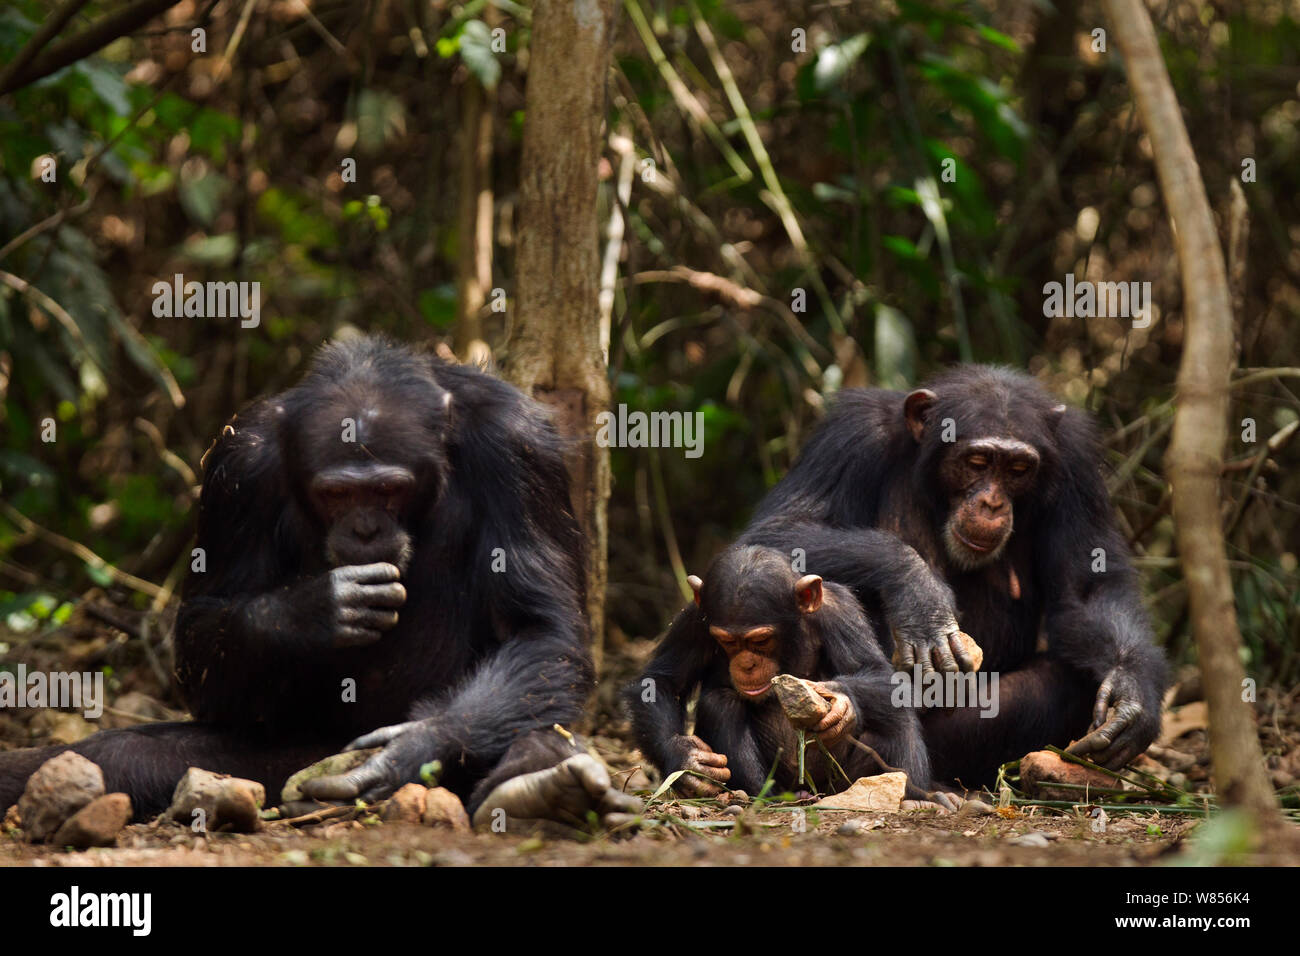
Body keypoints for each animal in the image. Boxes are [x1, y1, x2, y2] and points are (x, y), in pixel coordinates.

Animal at [0, 338, 639, 832]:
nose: (365, 529)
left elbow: (540, 629)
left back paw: (543, 793)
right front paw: (311, 613)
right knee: (120, 755)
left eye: (388, 490)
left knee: (542, 719)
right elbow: (203, 632)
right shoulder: (237, 465)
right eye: (336, 494)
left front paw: (411, 747)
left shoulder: (519, 446)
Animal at [629, 541, 946, 806]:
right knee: (720, 703)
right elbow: (661, 682)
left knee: (896, 720)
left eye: (761, 640)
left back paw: (917, 798)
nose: (747, 664)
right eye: (727, 642)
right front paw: (687, 761)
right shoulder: (693, 620)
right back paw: (762, 796)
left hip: (837, 785)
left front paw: (840, 704)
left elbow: (875, 673)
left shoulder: (840, 610)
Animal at [738, 364, 1175, 785]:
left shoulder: (1077, 464)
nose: (991, 503)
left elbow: (1087, 587)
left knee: (1066, 678)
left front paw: (1131, 694)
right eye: (977, 462)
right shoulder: (850, 434)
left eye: (1019, 468)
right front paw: (919, 592)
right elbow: (779, 532)